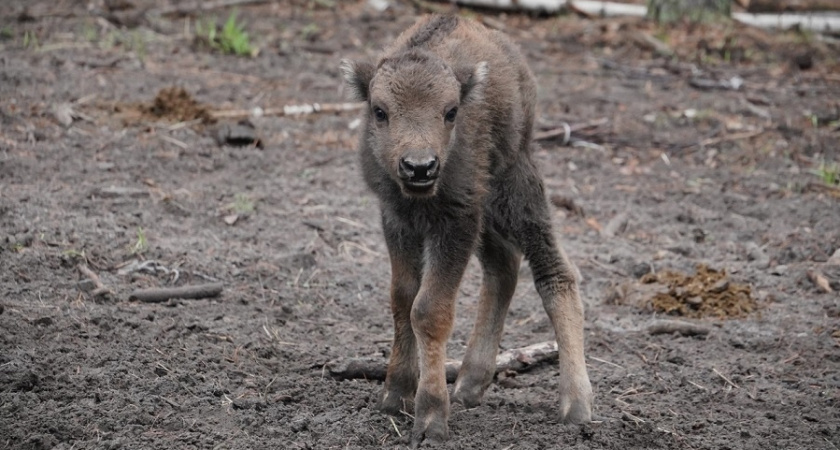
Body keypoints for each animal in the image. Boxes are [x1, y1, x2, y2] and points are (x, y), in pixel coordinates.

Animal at [340, 14, 592, 446]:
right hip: (488, 211)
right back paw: (470, 383)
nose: (419, 167)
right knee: (503, 266)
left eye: (451, 111)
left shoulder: (456, 222)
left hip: (514, 186)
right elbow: (402, 299)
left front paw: (430, 420)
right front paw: (394, 395)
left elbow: (429, 310)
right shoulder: (397, 220)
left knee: (554, 270)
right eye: (379, 110)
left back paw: (575, 405)